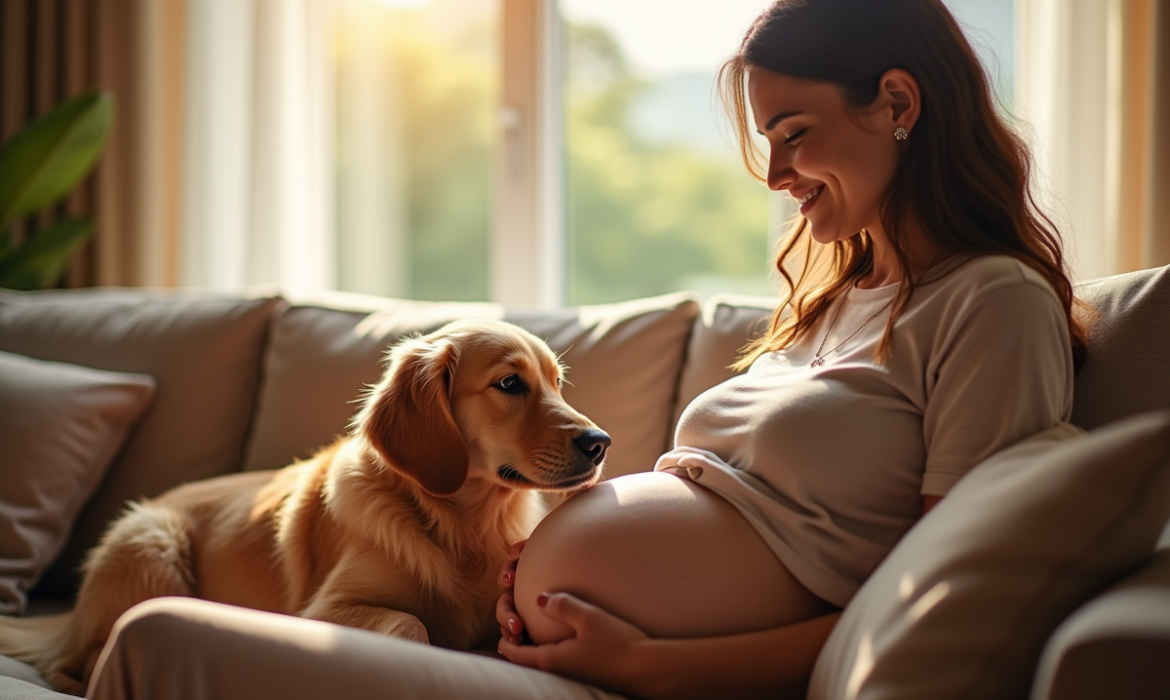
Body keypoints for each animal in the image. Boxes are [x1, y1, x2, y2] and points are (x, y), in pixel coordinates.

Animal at [2, 320, 613, 692]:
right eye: (509, 384)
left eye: (557, 384)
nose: (600, 442)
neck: (459, 522)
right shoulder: (321, 611)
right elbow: (412, 623)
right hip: (152, 544)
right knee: (75, 664)